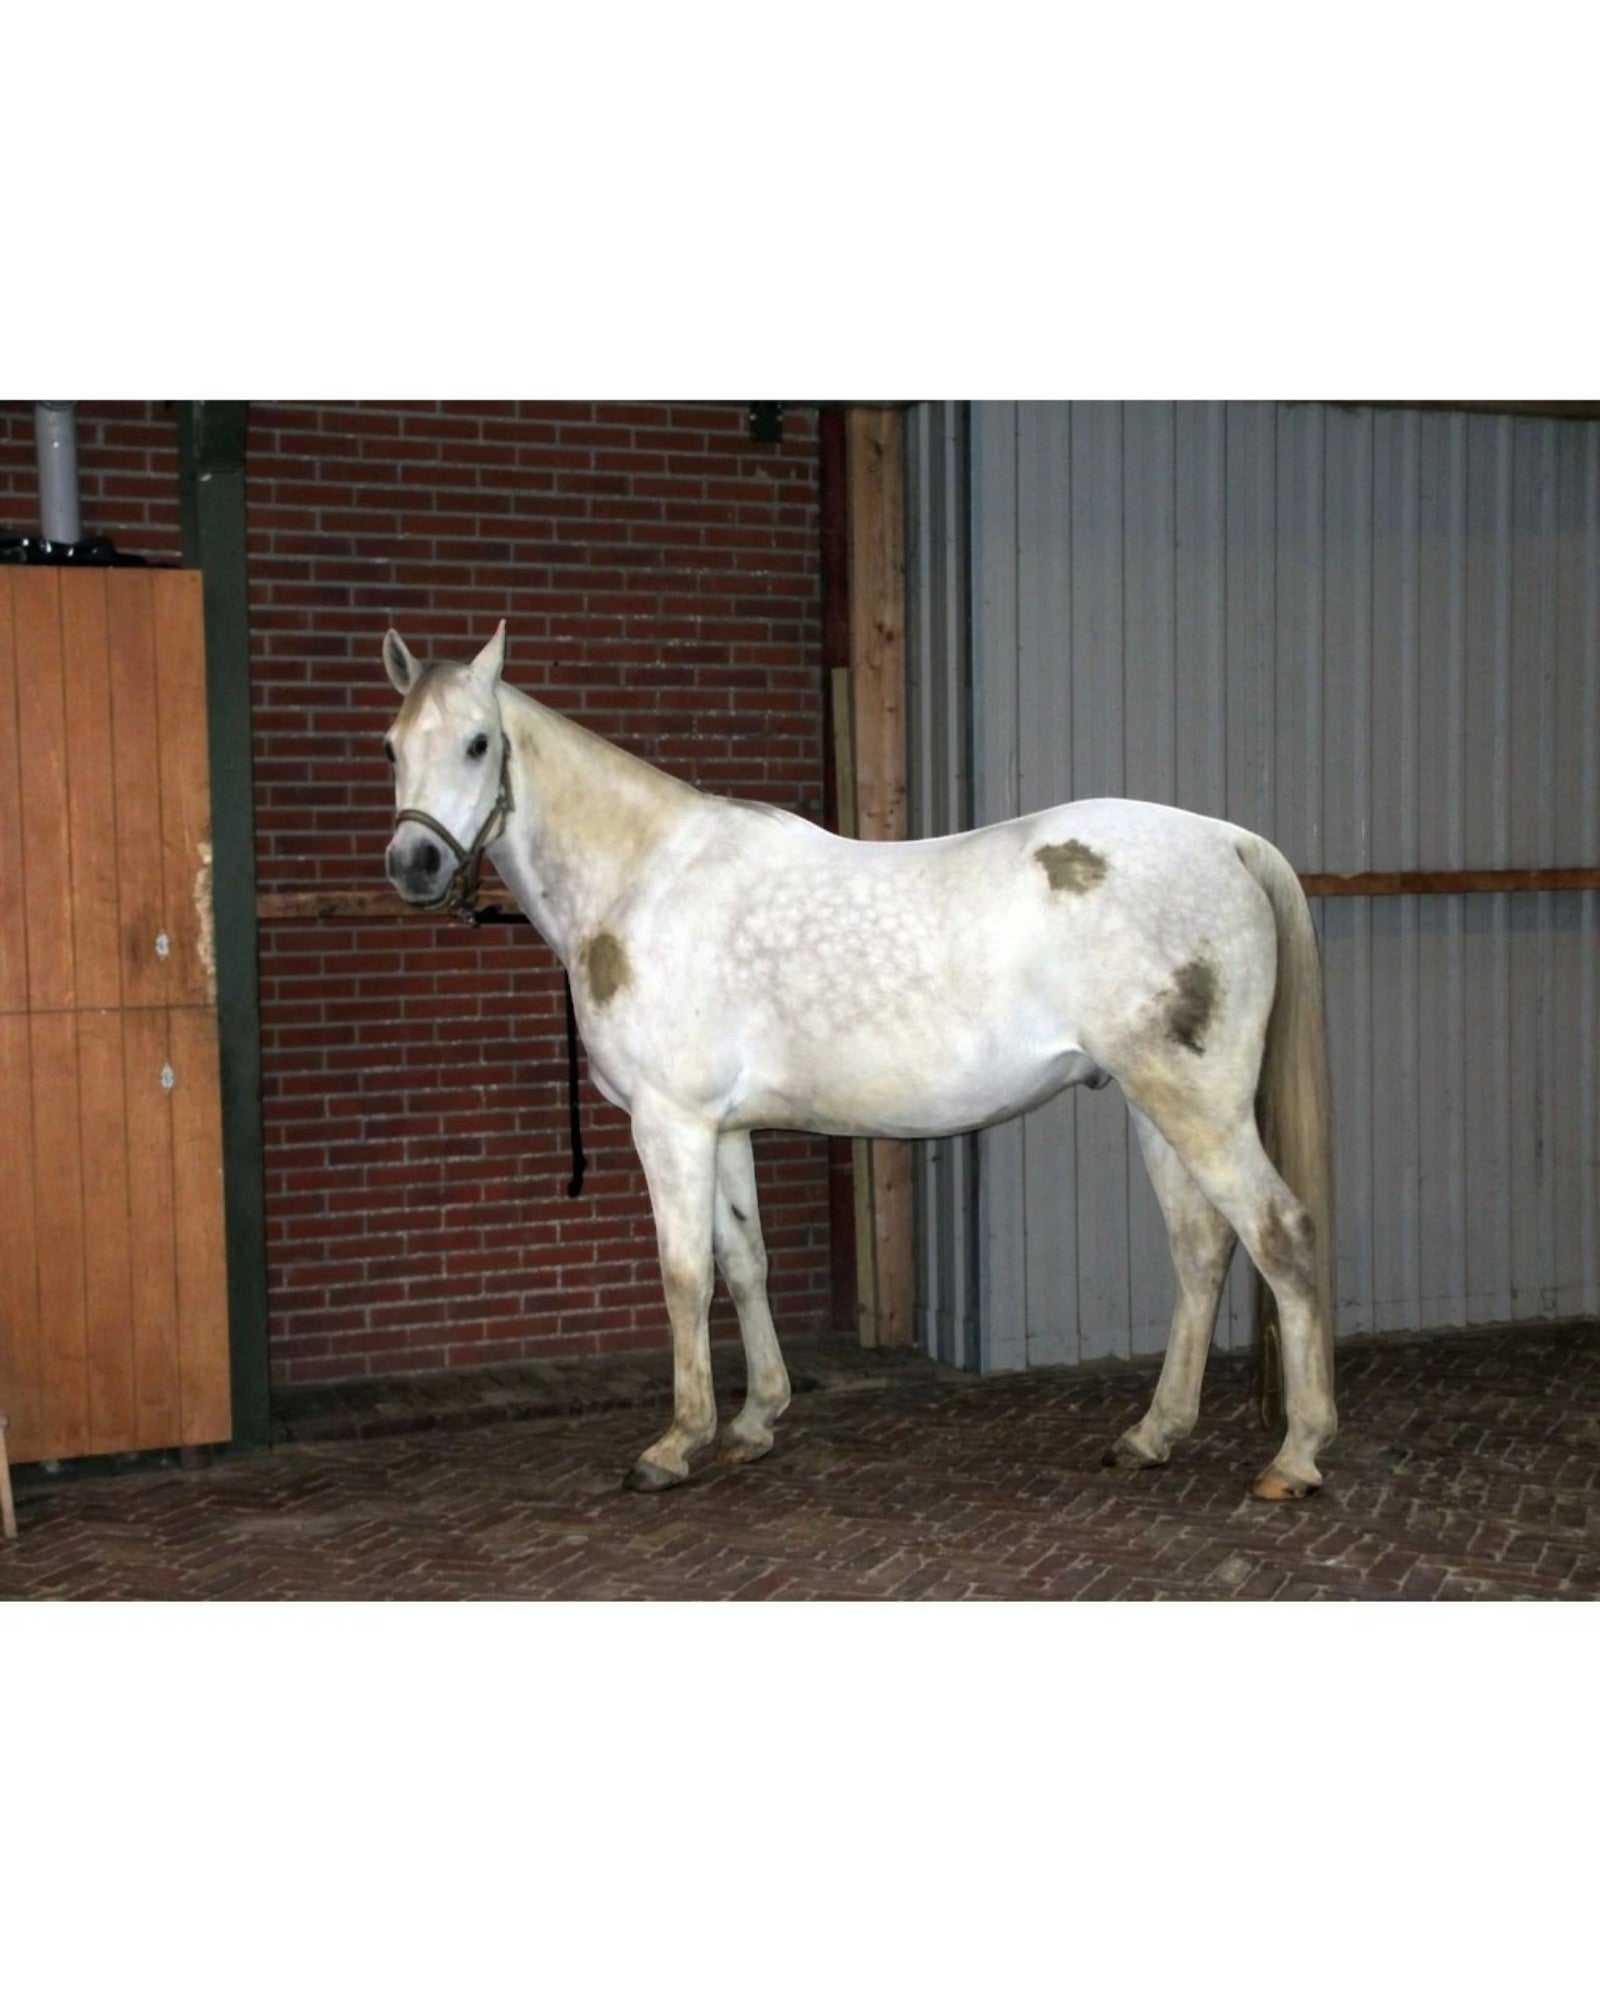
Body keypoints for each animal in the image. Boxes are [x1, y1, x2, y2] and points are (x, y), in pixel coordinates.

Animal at [381, 622, 1337, 1502]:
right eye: (391, 745)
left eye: (478, 743)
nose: (413, 864)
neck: (643, 881)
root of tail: (1229, 841)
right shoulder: (722, 1129)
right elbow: (745, 1262)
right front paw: (754, 1422)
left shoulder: (670, 1124)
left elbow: (685, 1276)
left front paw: (675, 1443)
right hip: (1153, 1106)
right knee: (1201, 1250)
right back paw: (1153, 1435)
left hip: (1197, 1106)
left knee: (1280, 1235)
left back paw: (1296, 1456)